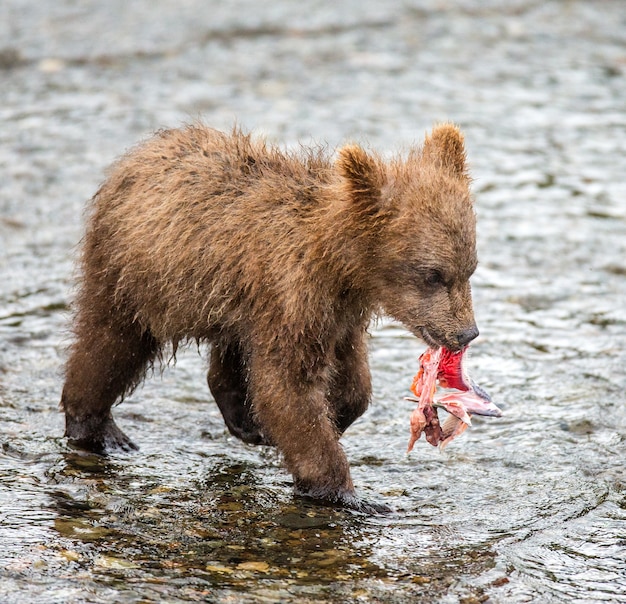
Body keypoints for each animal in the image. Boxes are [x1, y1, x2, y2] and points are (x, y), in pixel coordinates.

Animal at [59, 124, 478, 516]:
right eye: (433, 275)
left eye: (468, 269)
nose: (467, 333)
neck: (339, 263)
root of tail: (138, 155)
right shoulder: (290, 296)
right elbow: (286, 387)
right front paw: (345, 492)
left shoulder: (337, 313)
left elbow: (352, 379)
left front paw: (336, 414)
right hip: (133, 274)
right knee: (110, 343)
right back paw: (100, 429)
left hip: (227, 298)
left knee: (225, 351)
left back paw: (244, 421)